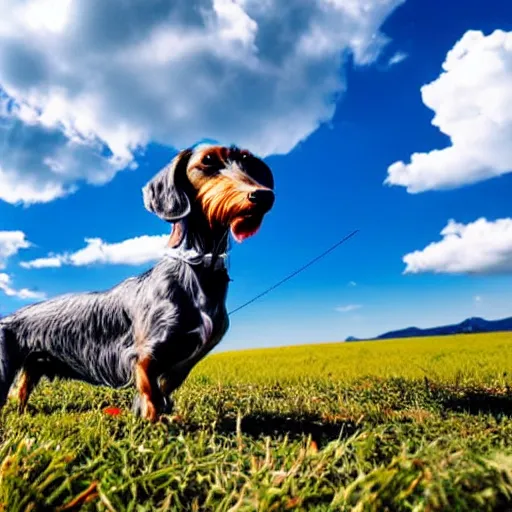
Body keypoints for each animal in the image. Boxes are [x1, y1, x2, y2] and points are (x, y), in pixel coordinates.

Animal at [0, 143, 276, 420]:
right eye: (207, 160)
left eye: (247, 160)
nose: (264, 196)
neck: (196, 269)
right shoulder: (145, 354)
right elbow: (151, 394)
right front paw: (153, 422)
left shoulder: (183, 362)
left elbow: (164, 390)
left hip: (33, 366)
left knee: (21, 389)